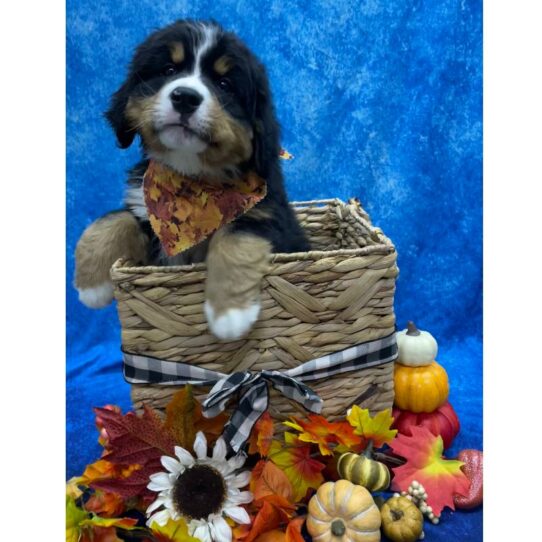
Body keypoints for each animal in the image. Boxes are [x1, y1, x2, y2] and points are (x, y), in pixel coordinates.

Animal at [75, 20, 310, 340]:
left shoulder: (267, 217)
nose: (185, 97)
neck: (192, 179)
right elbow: (113, 220)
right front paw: (91, 285)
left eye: (224, 85)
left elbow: (234, 240)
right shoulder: (148, 215)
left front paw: (229, 314)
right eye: (169, 70)